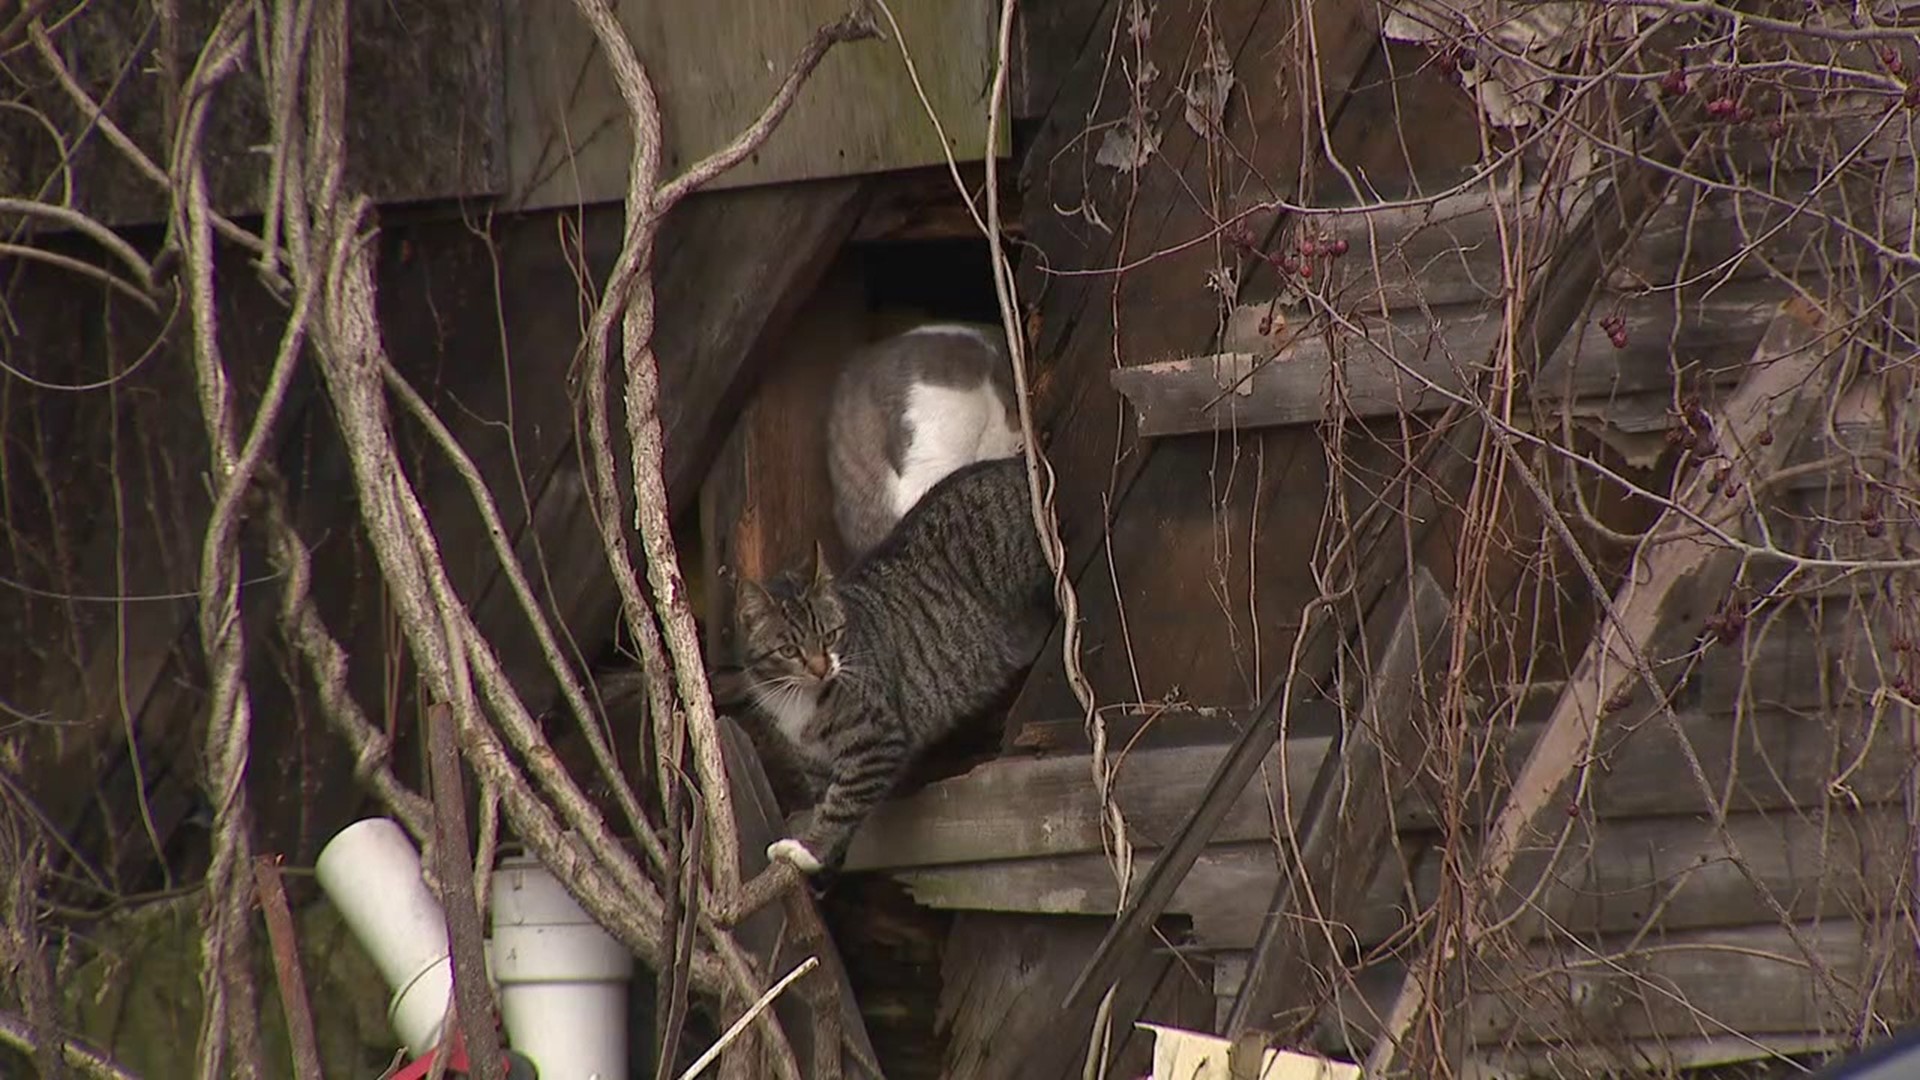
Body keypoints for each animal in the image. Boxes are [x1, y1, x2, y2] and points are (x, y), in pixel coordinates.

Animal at [725, 451, 1052, 864]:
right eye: (789, 651)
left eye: (829, 636)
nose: (821, 668)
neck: (797, 701)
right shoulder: (815, 764)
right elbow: (824, 798)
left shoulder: (877, 740)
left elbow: (842, 802)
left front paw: (812, 848)